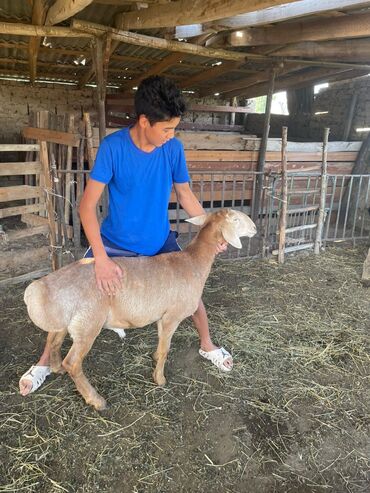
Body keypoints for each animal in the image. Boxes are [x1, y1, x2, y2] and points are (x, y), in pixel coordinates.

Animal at [23, 208, 254, 408]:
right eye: (236, 219)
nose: (254, 228)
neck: (194, 262)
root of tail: (45, 284)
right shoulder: (172, 316)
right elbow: (166, 348)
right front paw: (159, 379)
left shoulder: (162, 316)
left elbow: (161, 344)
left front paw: (155, 359)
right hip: (88, 323)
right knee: (72, 363)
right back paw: (95, 400)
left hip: (66, 317)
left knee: (53, 340)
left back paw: (55, 367)